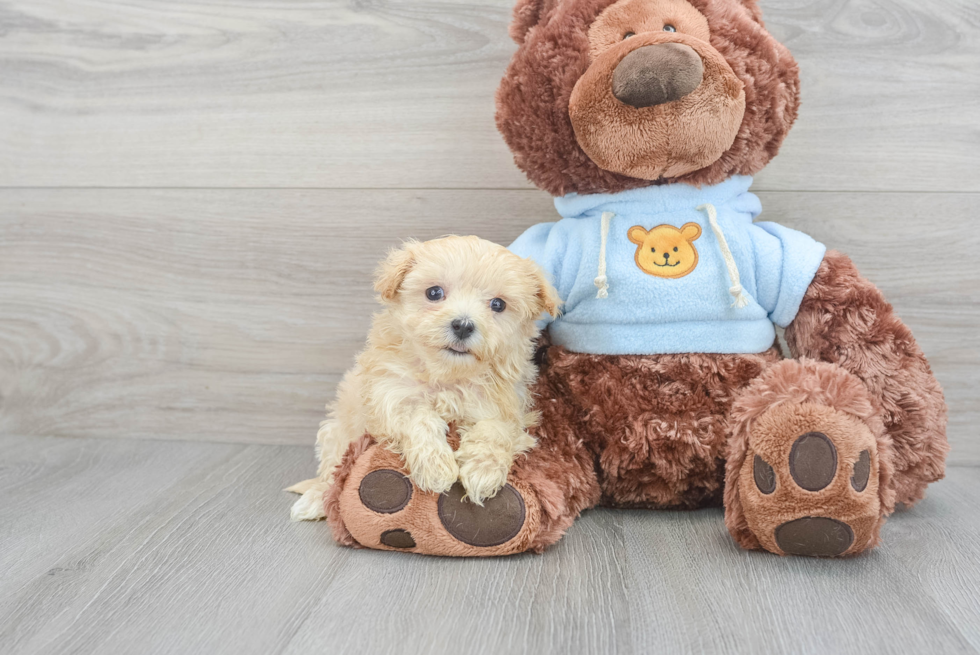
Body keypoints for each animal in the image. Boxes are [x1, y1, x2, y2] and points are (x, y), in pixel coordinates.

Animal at [288, 236, 560, 524]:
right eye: (434, 293)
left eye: (498, 304)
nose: (463, 325)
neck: (447, 375)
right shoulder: (389, 393)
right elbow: (418, 417)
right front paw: (435, 466)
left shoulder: (507, 407)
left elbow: (495, 430)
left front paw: (481, 472)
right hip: (337, 432)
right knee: (332, 470)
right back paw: (315, 499)